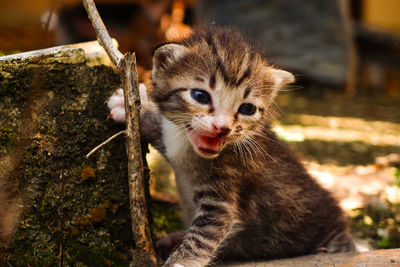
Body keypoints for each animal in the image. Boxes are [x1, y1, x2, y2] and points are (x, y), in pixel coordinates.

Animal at [108, 27, 354, 267]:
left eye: (247, 109)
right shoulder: (174, 141)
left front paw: (181, 261)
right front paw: (133, 107)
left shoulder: (223, 198)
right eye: (200, 95)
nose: (222, 128)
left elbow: (202, 236)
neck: (189, 149)